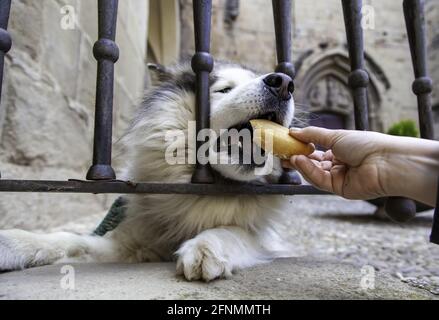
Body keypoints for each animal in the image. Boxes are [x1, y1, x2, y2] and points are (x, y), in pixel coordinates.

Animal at [0, 61, 300, 282]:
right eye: (224, 90)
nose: (284, 83)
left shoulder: (265, 239)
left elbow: (238, 231)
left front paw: (207, 247)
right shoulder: (125, 243)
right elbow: (72, 239)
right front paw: (14, 243)